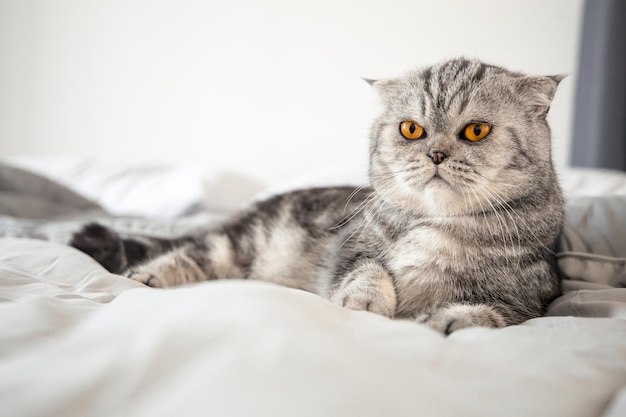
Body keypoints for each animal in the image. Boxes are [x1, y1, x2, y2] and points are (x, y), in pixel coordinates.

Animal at [70, 57, 564, 334]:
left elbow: (487, 312)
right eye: (411, 129)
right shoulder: (352, 249)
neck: (433, 222)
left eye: (476, 130)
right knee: (191, 251)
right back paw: (149, 276)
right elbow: (367, 271)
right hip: (239, 243)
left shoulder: (529, 299)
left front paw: (450, 318)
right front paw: (366, 302)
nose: (437, 154)